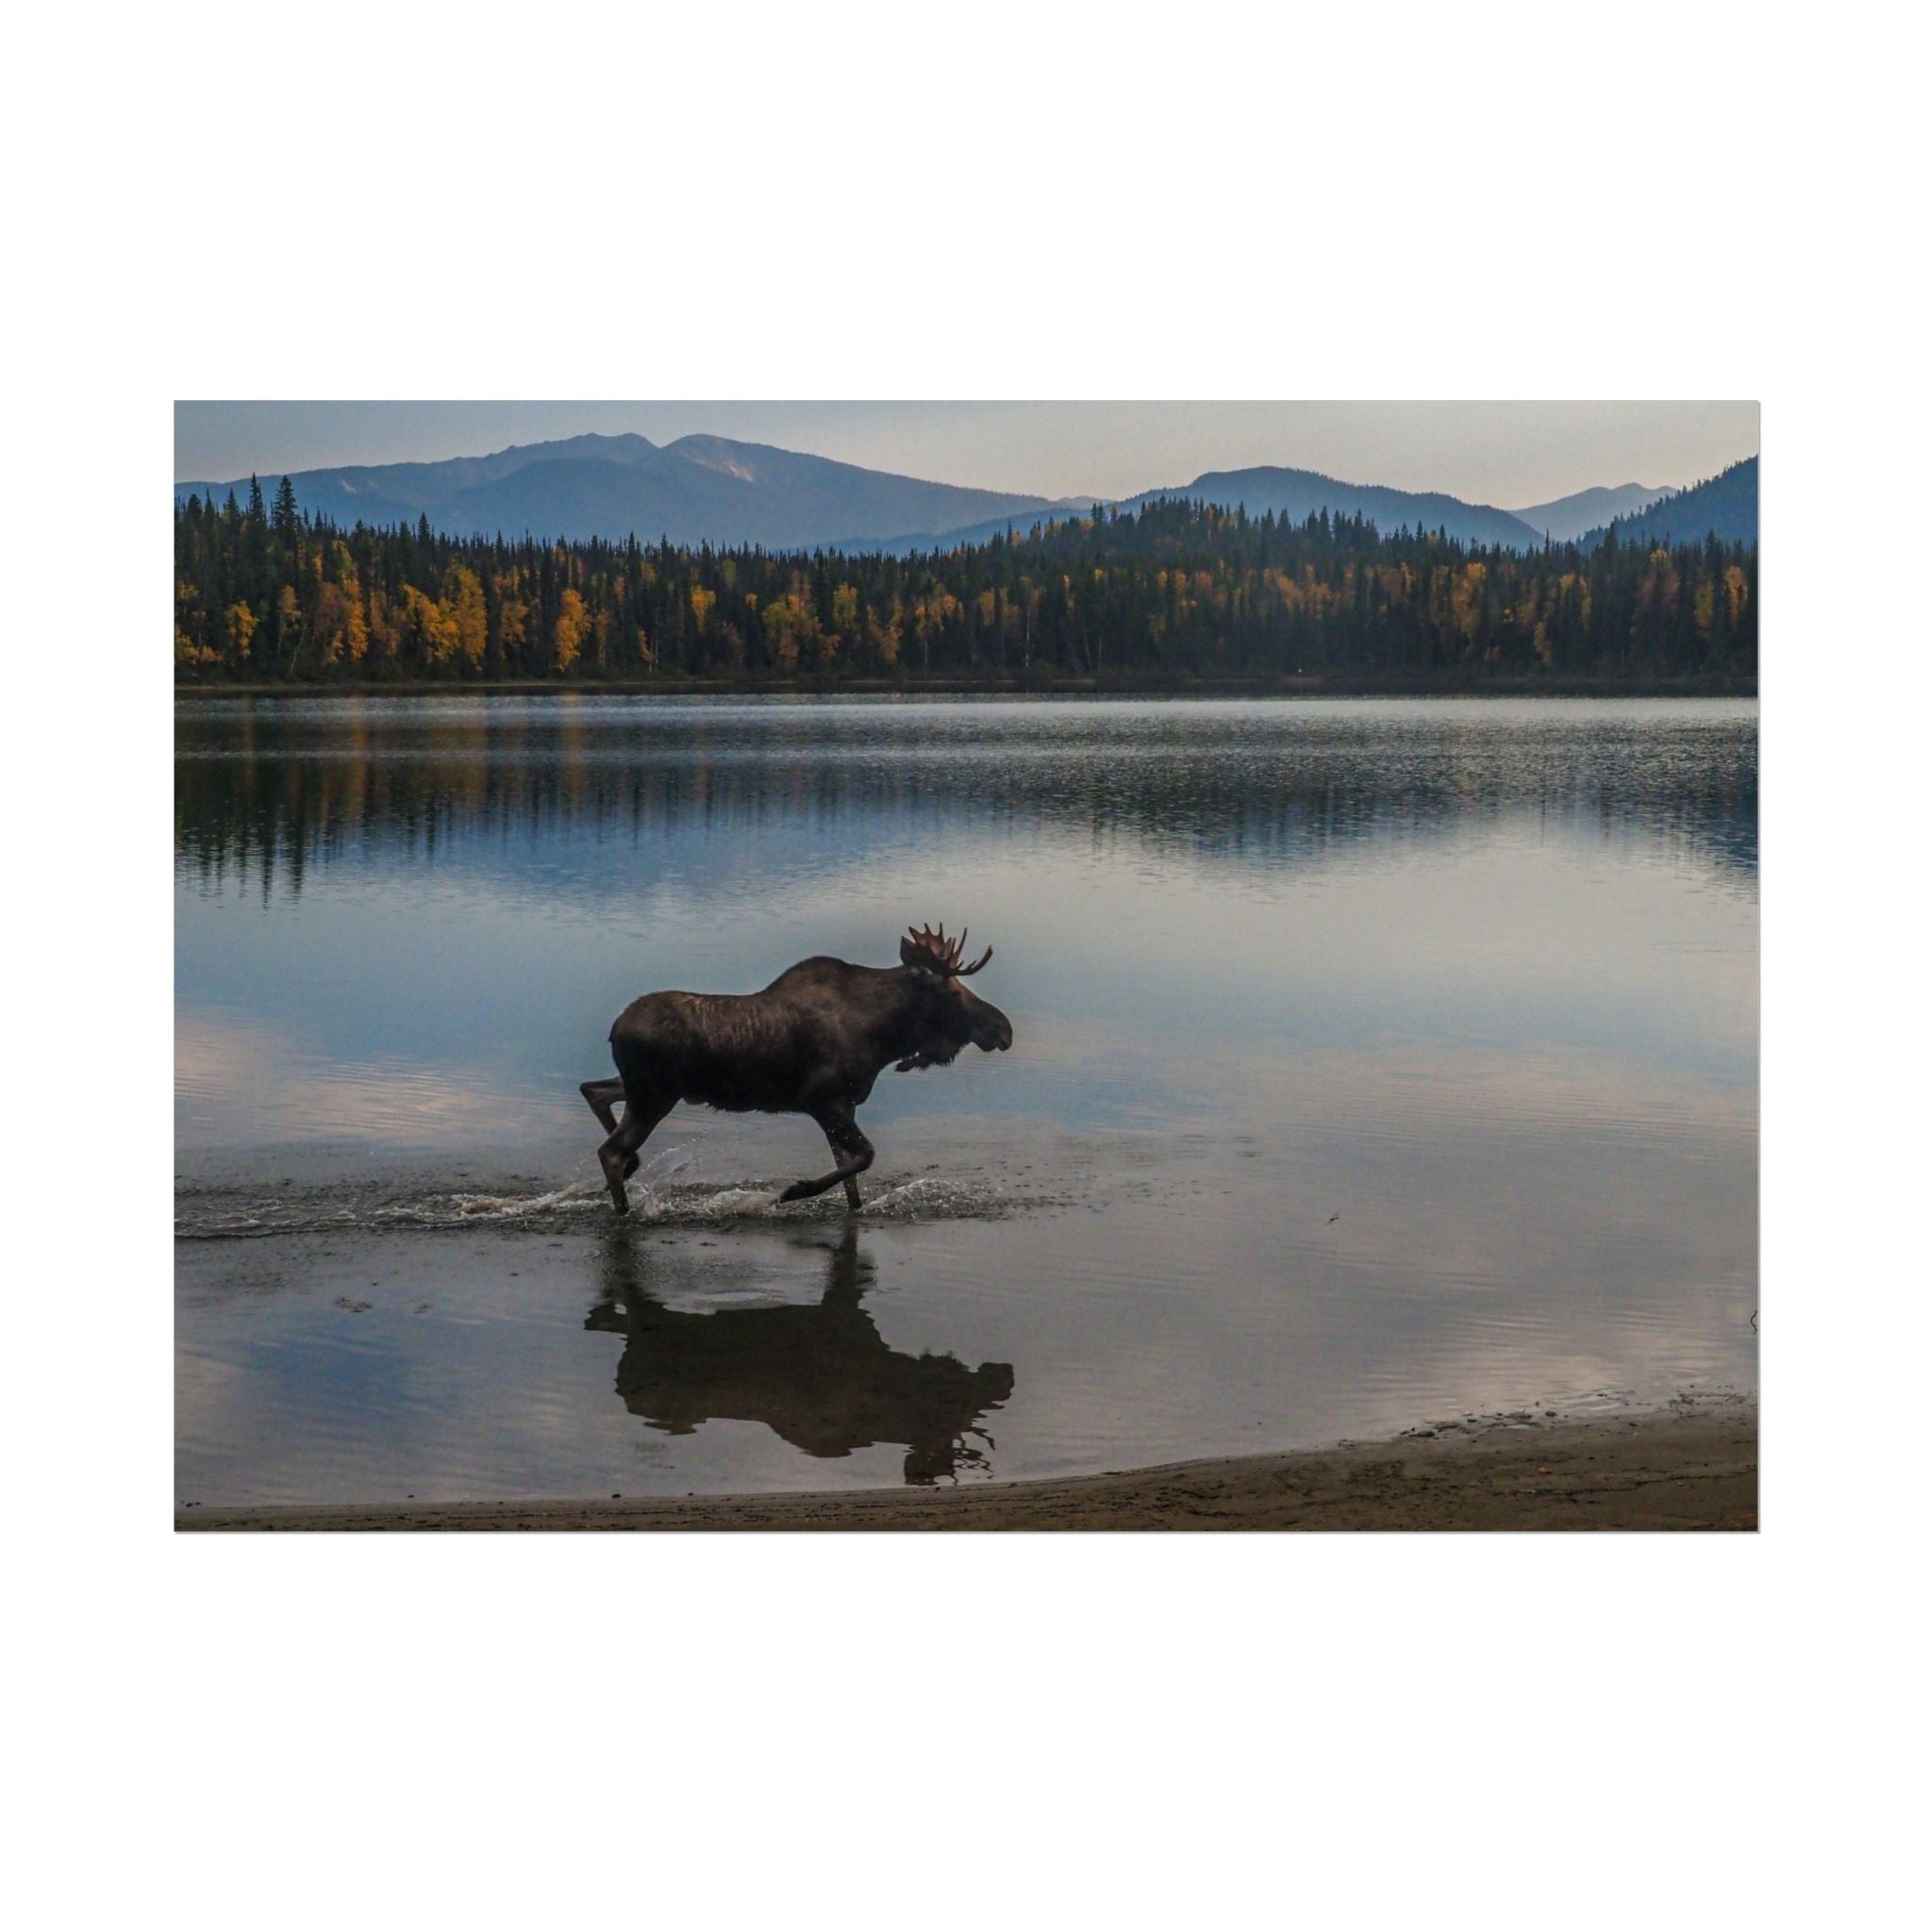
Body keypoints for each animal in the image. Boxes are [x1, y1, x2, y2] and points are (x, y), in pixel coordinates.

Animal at [580, 923, 1013, 1216]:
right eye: (951, 990)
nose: (1003, 1029)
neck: (884, 1037)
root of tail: (614, 1029)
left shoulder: (845, 1105)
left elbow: (851, 1178)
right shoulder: (824, 1101)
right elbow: (865, 1157)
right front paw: (793, 1191)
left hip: (646, 1089)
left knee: (594, 1090)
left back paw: (633, 1169)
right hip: (653, 1095)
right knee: (610, 1151)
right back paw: (624, 1208)